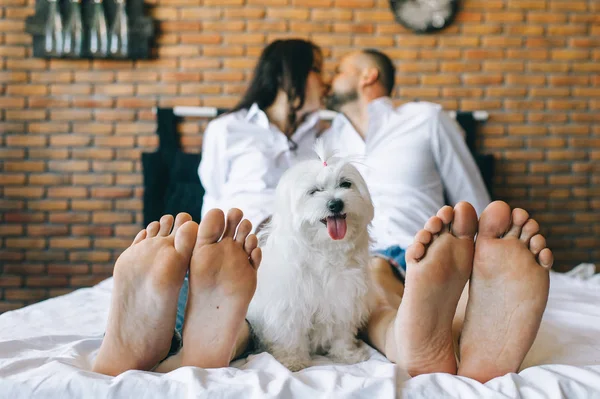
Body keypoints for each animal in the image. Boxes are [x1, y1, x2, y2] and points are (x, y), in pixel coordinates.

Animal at [246, 144, 372, 372]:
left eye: (345, 184)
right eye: (313, 192)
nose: (335, 204)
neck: (324, 250)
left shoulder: (344, 297)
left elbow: (342, 332)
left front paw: (347, 355)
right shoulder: (288, 304)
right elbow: (290, 334)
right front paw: (293, 360)